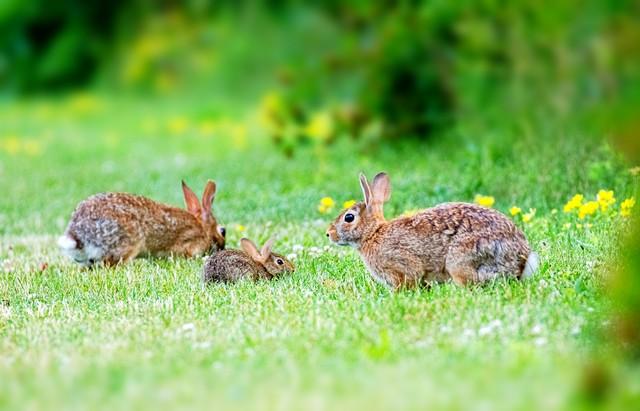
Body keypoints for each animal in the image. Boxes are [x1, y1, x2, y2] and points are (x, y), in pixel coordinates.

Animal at [324, 171, 540, 290]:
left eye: (349, 217)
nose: (328, 234)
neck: (373, 234)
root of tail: (521, 261)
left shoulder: (402, 264)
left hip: (461, 260)